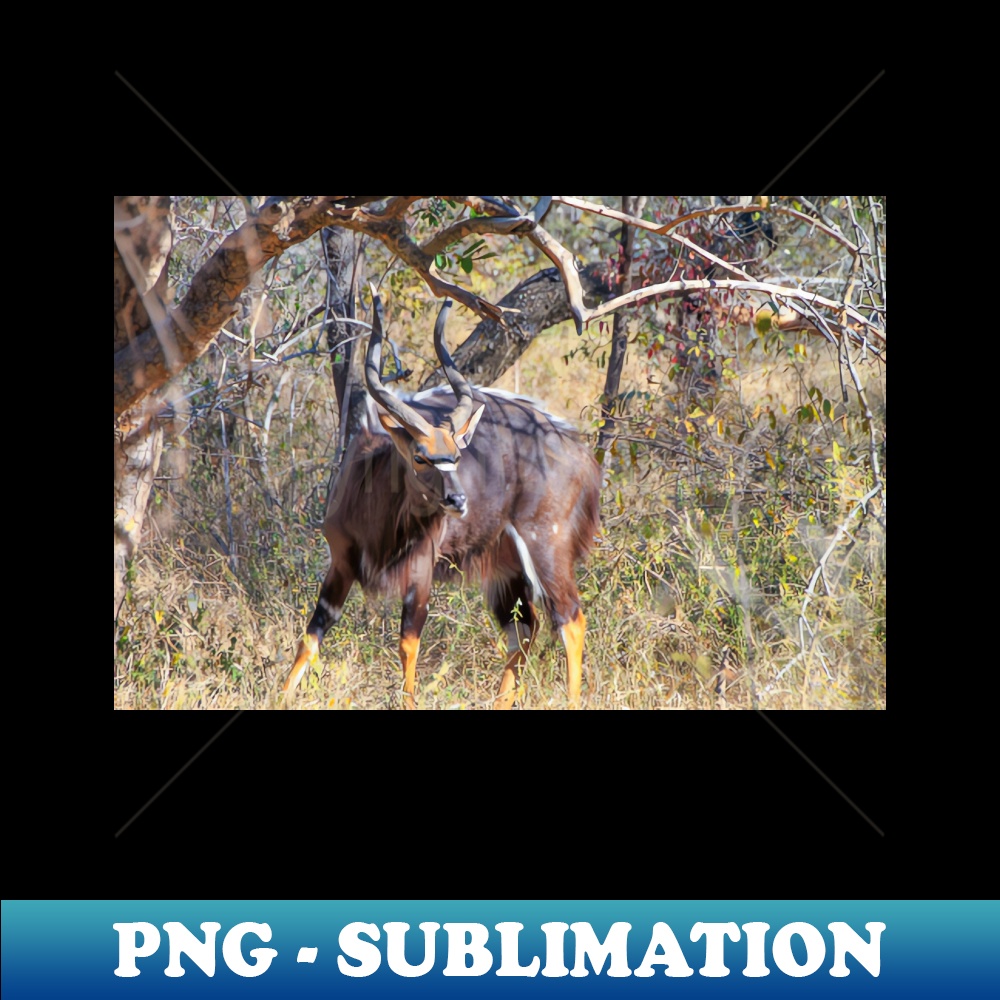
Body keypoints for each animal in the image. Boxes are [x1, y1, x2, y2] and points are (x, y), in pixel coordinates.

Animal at [283, 288, 602, 708]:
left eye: (456, 454)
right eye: (419, 456)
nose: (458, 500)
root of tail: (579, 454)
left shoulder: (420, 567)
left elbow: (408, 643)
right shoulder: (342, 561)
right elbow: (311, 636)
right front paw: (278, 695)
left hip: (546, 546)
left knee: (570, 620)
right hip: (506, 566)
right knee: (524, 628)